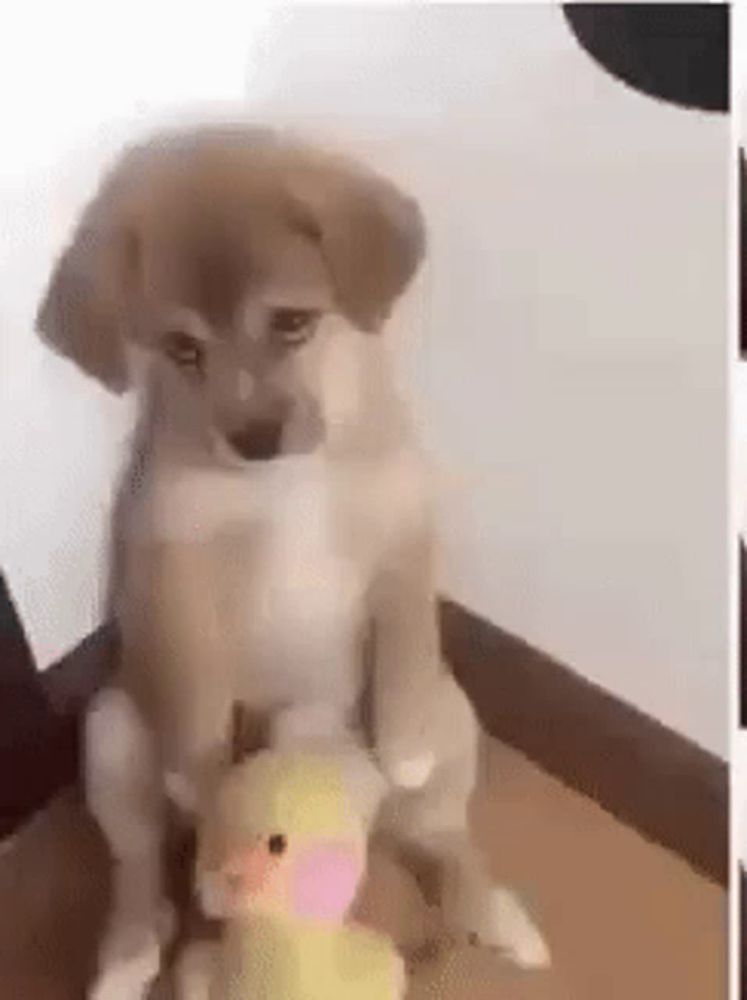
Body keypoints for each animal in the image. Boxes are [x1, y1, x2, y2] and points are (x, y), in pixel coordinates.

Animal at [36, 121, 548, 996]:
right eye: (182, 348)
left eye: (291, 324)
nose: (253, 438)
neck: (291, 483)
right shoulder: (175, 562)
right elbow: (196, 685)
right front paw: (202, 770)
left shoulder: (402, 532)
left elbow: (407, 635)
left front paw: (400, 742)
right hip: (109, 737)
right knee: (141, 879)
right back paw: (128, 958)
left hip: (456, 720)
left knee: (441, 839)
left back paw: (497, 915)